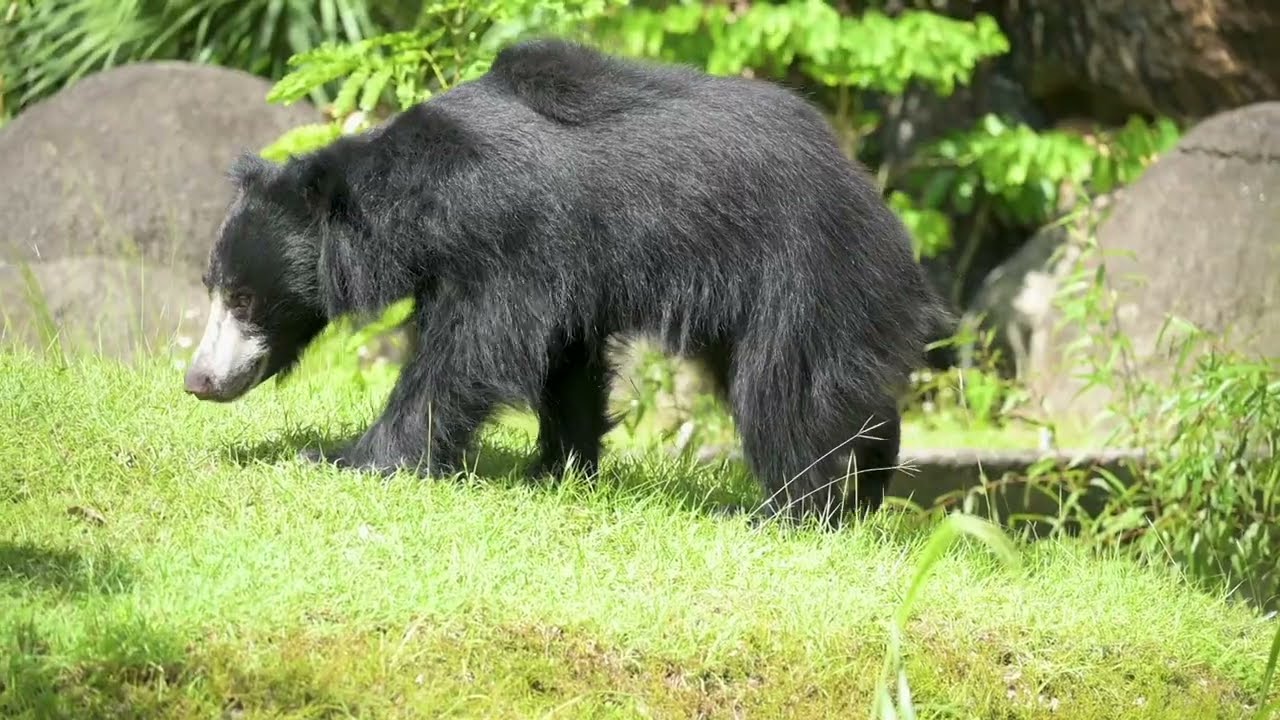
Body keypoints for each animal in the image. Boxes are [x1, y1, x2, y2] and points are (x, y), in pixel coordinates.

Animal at [183, 38, 952, 524]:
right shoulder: (561, 266)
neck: (420, 201)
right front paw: (556, 471)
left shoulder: (507, 240)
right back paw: (869, 488)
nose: (198, 381)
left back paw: (785, 512)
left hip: (803, 278)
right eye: (213, 287)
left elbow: (469, 354)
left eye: (244, 299)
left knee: (783, 393)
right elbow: (566, 360)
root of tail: (879, 208)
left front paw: (352, 457)